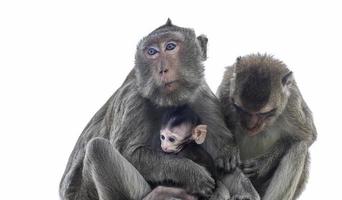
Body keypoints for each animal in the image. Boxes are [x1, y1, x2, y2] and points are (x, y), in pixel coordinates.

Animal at [60, 19, 255, 200]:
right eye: (152, 52)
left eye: (170, 46)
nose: (162, 69)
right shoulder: (133, 99)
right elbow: (129, 152)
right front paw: (190, 173)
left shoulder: (201, 97)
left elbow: (221, 163)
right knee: (98, 148)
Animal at [218, 54, 316, 199]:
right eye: (239, 108)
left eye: (264, 113)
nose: (250, 126)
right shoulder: (225, 90)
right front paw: (228, 148)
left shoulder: (292, 103)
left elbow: (308, 136)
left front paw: (262, 164)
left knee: (299, 147)